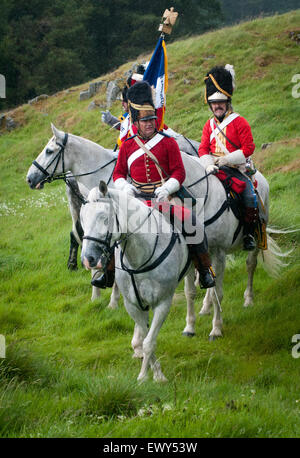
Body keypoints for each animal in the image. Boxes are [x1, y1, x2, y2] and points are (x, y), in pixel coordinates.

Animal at [80, 181, 195, 382]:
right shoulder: (132, 304)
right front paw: (153, 372)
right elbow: (145, 336)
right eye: (82, 219)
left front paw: (147, 377)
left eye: (104, 217)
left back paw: (209, 326)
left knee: (210, 292)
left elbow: (149, 341)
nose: (88, 259)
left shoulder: (163, 303)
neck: (140, 257)